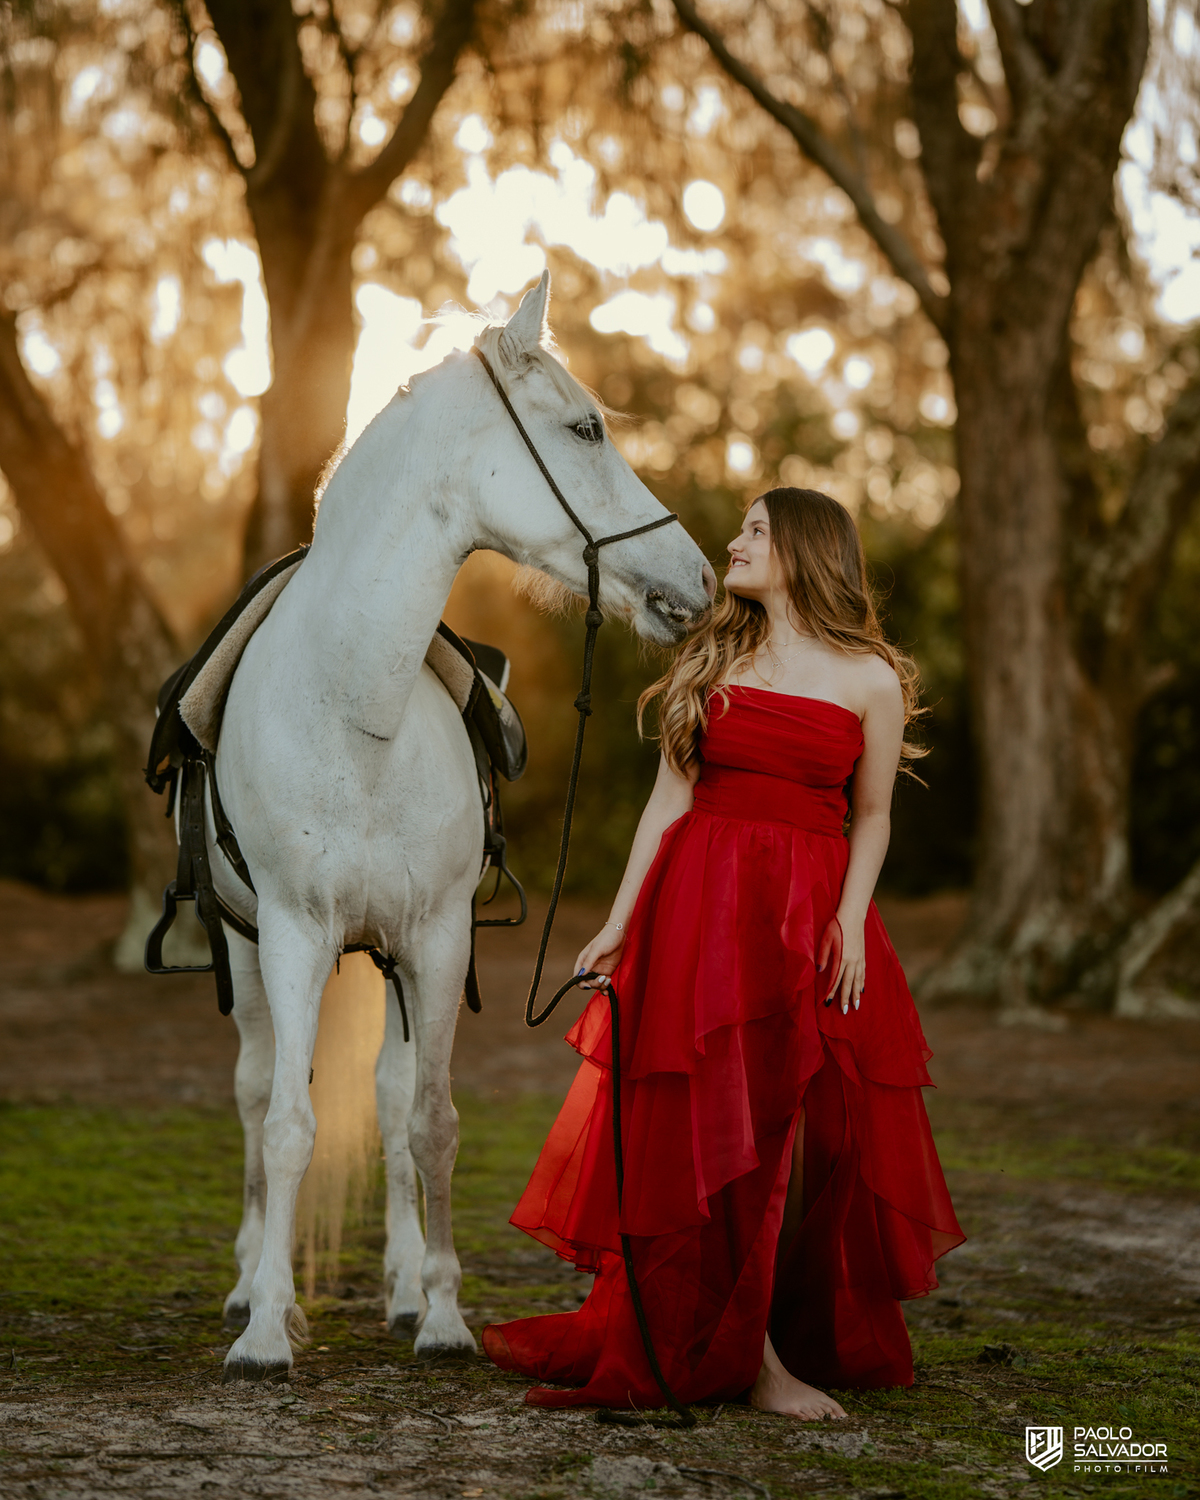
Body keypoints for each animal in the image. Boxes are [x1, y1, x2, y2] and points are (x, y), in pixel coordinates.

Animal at [204, 272, 716, 1382]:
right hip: (249, 948)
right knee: (257, 1093)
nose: (699, 580)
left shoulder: (435, 939)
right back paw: (250, 1281)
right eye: (586, 427)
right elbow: (290, 1124)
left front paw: (441, 1314)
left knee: (392, 1100)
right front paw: (266, 1329)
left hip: (391, 958)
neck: (354, 710)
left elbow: (430, 1124)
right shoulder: (296, 935)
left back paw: (398, 1289)